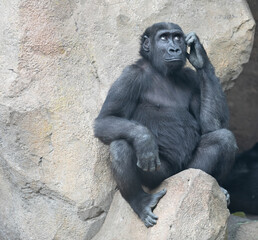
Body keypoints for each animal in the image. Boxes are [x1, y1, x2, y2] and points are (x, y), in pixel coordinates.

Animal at [93, 22, 237, 227]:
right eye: (163, 38)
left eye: (177, 37)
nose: (174, 48)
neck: (160, 71)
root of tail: (175, 176)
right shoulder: (129, 76)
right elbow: (107, 118)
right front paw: (144, 139)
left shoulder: (193, 78)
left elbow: (211, 126)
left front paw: (199, 54)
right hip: (159, 178)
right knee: (120, 145)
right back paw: (140, 201)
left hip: (188, 171)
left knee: (224, 139)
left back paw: (218, 186)